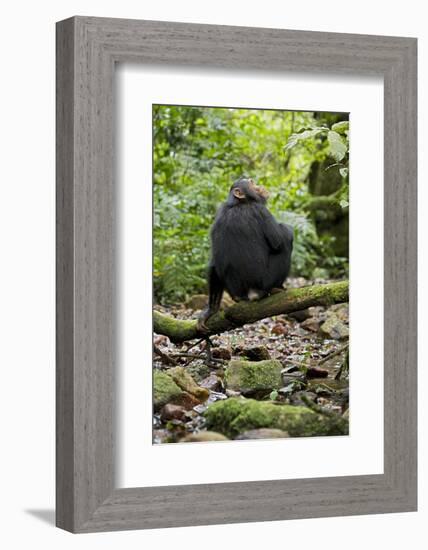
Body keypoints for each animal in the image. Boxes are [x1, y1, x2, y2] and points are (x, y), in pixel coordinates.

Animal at [198, 178, 294, 332]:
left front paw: (210, 310)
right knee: (285, 245)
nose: (257, 184)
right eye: (250, 182)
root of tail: (248, 293)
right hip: (265, 281)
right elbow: (279, 241)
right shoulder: (260, 210)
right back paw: (276, 288)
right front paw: (286, 230)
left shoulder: (218, 215)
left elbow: (213, 261)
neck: (238, 203)